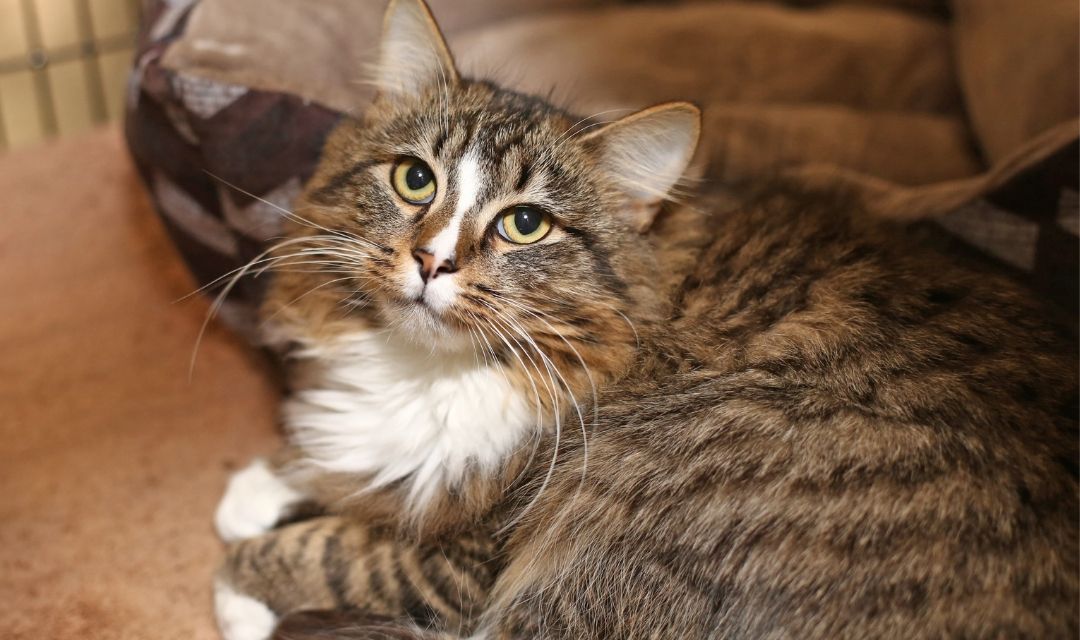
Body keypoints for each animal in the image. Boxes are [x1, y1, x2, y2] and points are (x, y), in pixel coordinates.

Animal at [208, 0, 1071, 634]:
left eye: (526, 225)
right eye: (415, 180)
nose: (432, 261)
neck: (422, 370)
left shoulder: (471, 556)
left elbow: (334, 549)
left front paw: (238, 587)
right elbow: (331, 471)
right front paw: (262, 486)